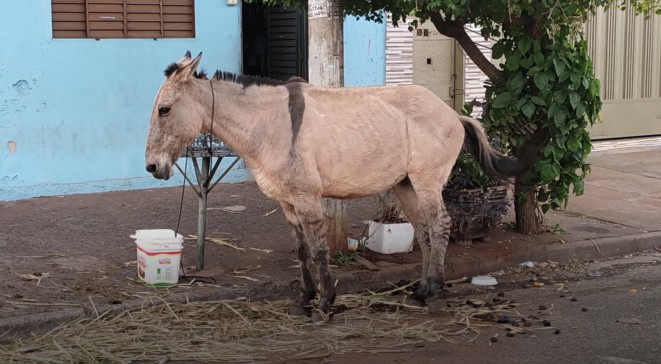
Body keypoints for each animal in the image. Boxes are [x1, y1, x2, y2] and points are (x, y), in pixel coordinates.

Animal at [144, 52, 524, 322]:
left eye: (164, 110)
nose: (151, 167)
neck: (269, 124)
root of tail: (451, 113)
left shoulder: (308, 199)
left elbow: (319, 250)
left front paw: (326, 303)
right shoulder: (287, 202)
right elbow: (300, 250)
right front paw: (304, 299)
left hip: (427, 180)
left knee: (441, 226)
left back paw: (435, 292)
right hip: (406, 185)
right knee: (425, 231)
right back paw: (419, 291)